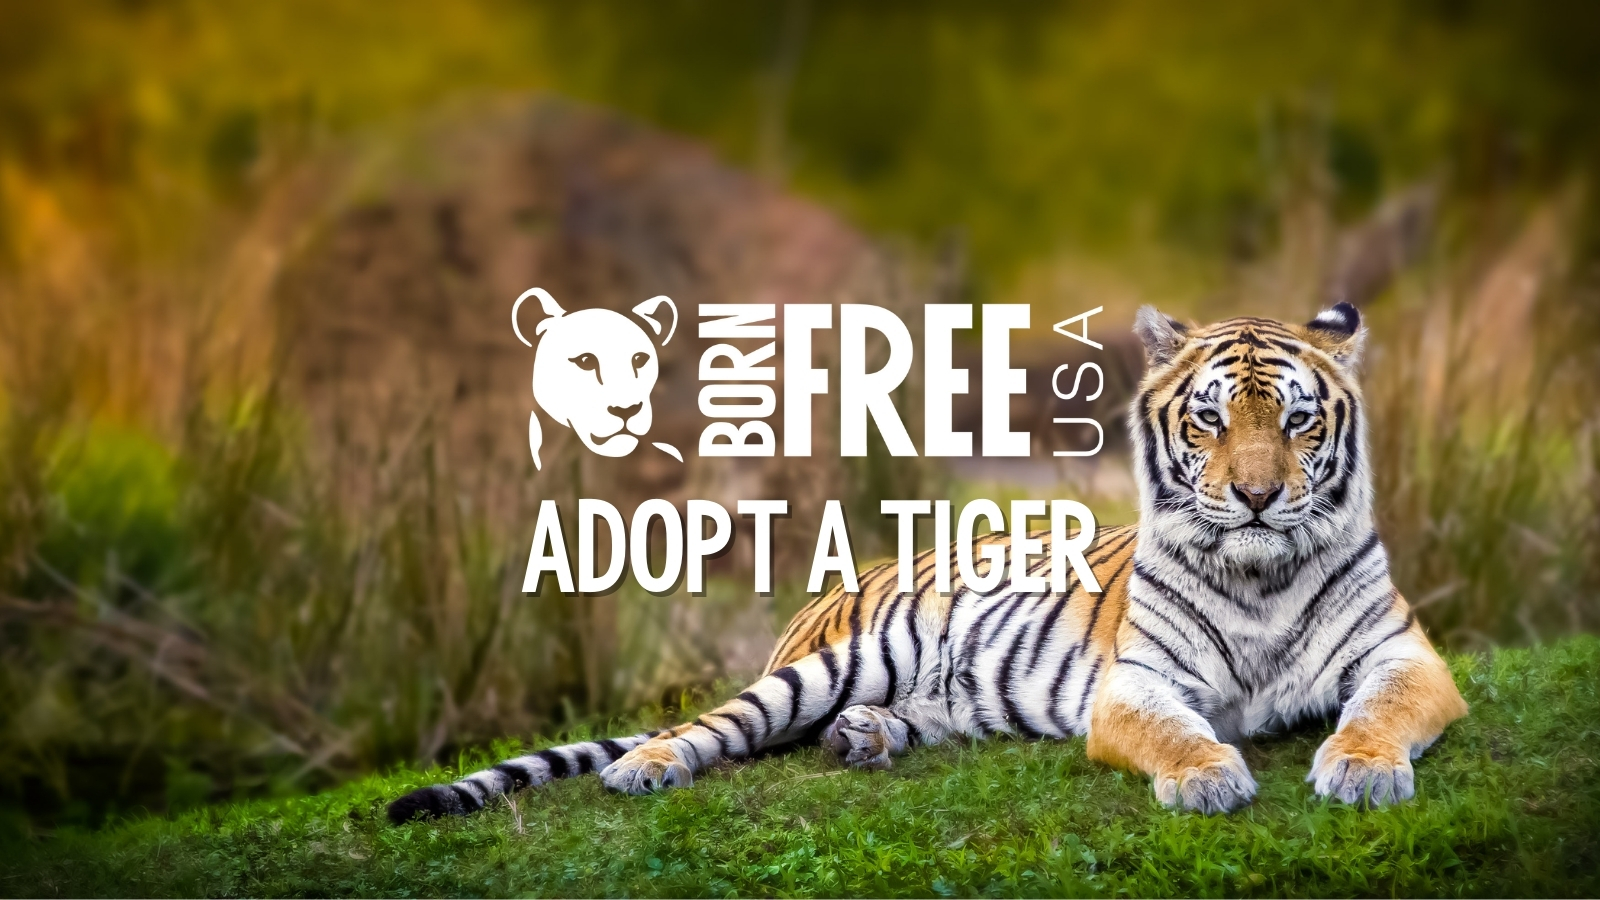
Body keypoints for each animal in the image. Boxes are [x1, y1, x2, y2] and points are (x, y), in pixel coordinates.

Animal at [388, 301, 1467, 821]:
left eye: (1296, 420)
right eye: (1208, 421)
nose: (1254, 496)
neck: (1260, 574)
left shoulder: (1407, 656)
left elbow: (1379, 712)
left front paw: (1361, 772)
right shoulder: (1138, 684)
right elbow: (1174, 733)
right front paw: (1207, 779)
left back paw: (865, 740)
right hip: (831, 663)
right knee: (718, 726)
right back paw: (646, 767)